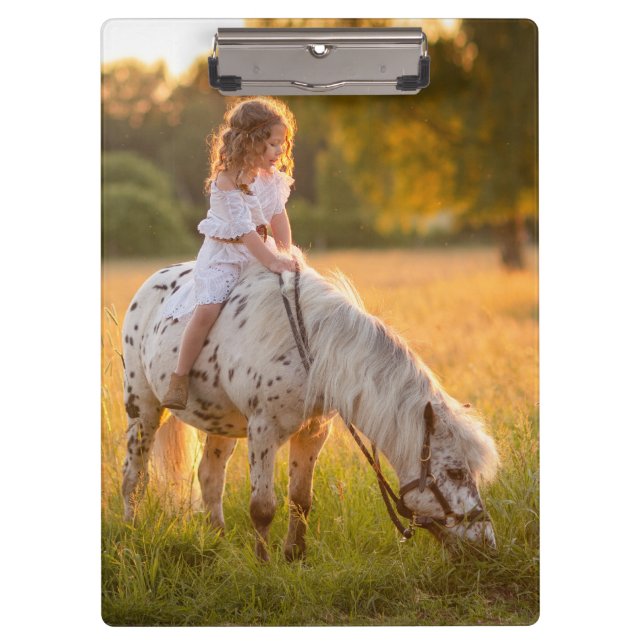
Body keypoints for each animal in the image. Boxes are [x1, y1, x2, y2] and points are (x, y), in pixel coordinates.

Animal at [121, 252, 499, 560]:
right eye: (455, 472)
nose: (487, 544)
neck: (314, 347)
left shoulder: (314, 431)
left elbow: (301, 499)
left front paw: (294, 556)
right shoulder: (263, 430)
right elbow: (262, 507)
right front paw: (264, 564)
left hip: (221, 423)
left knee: (210, 477)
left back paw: (219, 541)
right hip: (143, 408)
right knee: (134, 479)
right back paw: (132, 535)